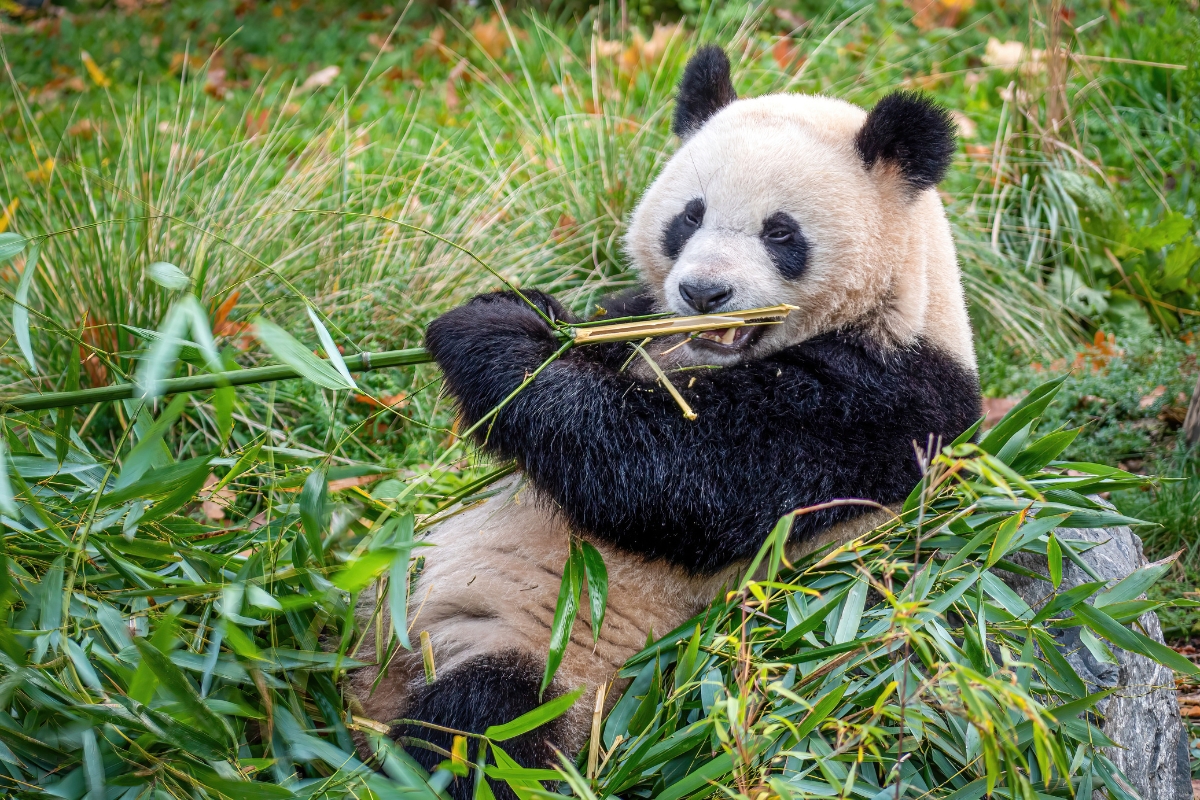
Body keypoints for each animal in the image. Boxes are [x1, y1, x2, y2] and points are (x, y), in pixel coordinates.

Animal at [350, 45, 982, 799]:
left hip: (560, 662)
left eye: (781, 232)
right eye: (689, 215)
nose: (703, 292)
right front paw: (525, 308)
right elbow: (606, 342)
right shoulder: (641, 325)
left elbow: (679, 478)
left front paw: (493, 338)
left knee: (483, 729)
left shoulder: (886, 405)